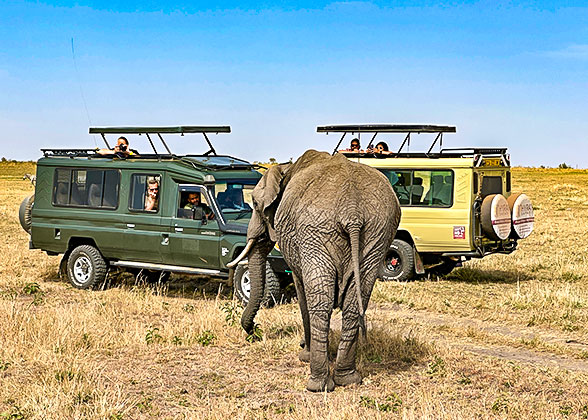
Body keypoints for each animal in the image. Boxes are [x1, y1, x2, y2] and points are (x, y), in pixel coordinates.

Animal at [227, 149, 402, 392]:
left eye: (253, 202)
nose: (254, 331)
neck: (286, 167)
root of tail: (352, 210)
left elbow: (302, 293)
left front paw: (304, 355)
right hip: (377, 233)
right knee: (353, 303)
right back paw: (347, 379)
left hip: (316, 233)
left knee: (319, 302)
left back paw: (317, 384)